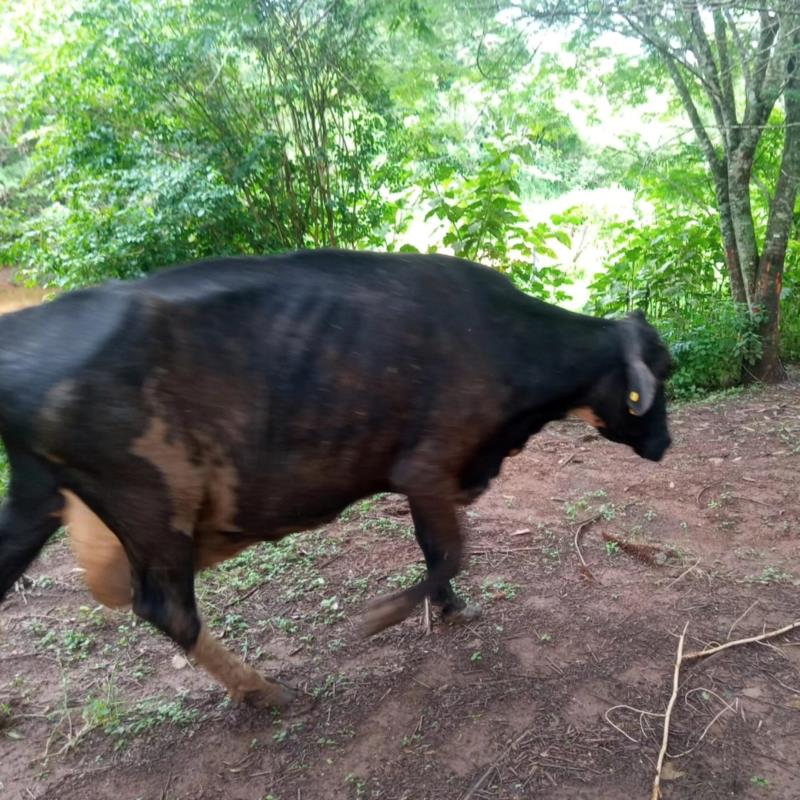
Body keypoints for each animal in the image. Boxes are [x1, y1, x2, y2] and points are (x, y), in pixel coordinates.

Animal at [0, 250, 668, 708]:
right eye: (657, 376)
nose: (664, 445)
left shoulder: (427, 478)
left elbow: (435, 551)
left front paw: (449, 609)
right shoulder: (429, 465)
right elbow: (452, 551)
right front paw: (387, 614)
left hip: (37, 496)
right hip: (153, 502)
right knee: (168, 608)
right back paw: (262, 690)